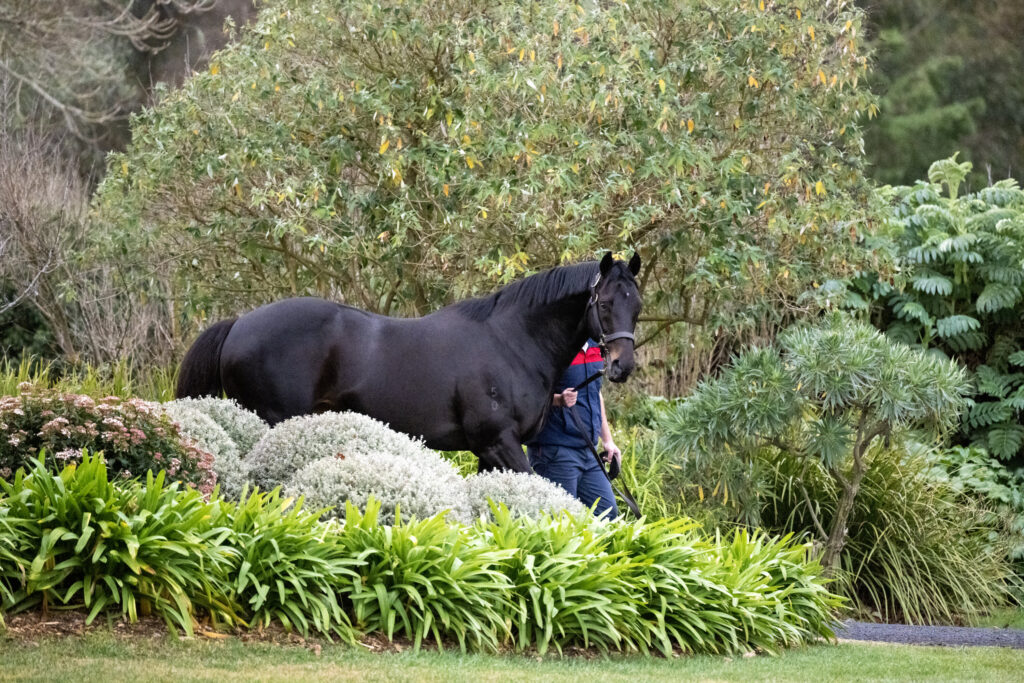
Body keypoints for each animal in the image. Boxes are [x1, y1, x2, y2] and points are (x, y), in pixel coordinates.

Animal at [176, 253, 638, 473]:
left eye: (637, 304)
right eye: (604, 303)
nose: (623, 366)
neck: (511, 341)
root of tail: (239, 324)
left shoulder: (488, 451)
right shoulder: (499, 442)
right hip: (271, 421)